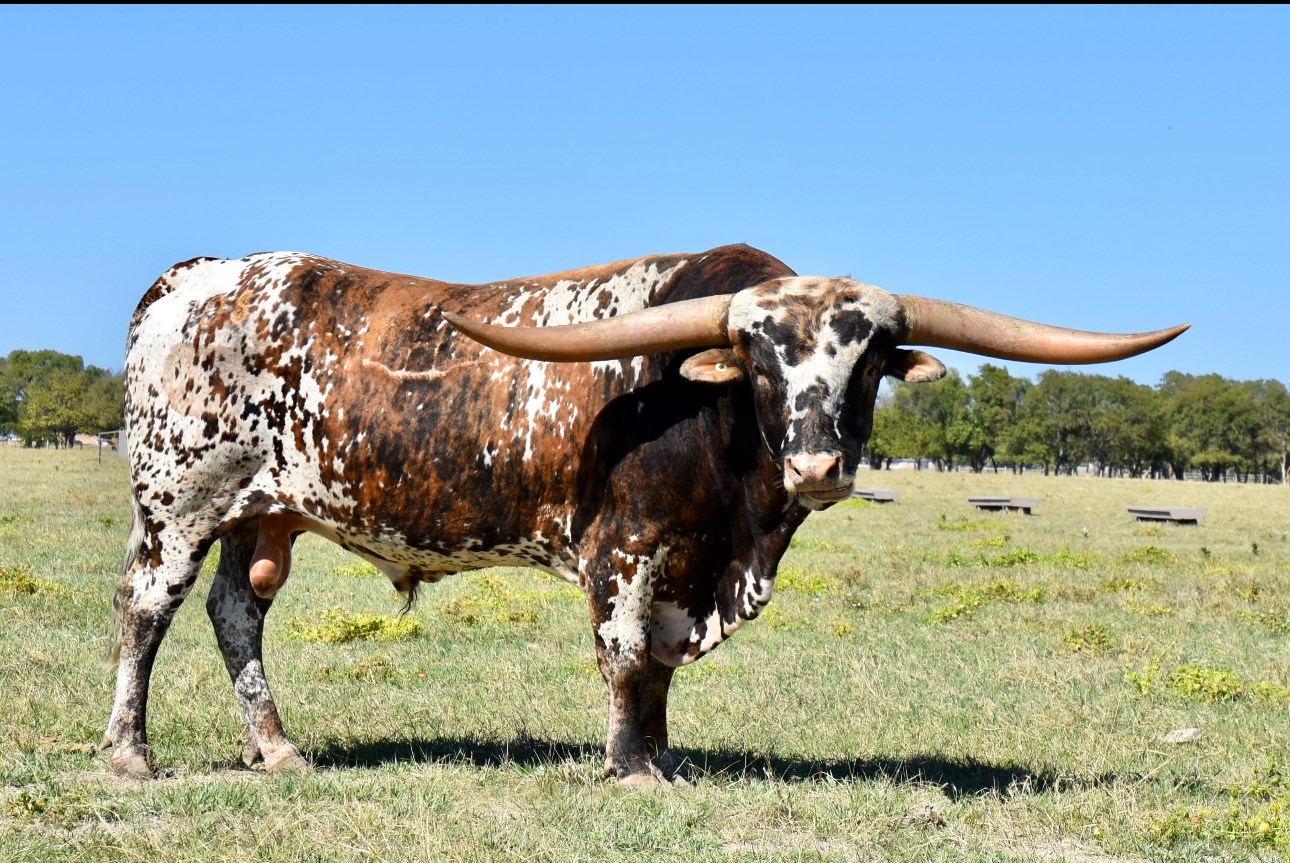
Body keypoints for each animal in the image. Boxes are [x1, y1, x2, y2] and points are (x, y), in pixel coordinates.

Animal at [104, 244, 1187, 786]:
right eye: (759, 359)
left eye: (871, 359)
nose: (819, 462)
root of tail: (196, 273)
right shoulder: (624, 548)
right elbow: (626, 655)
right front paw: (629, 767)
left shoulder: (692, 561)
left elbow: (661, 668)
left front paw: (662, 752)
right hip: (178, 500)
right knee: (145, 610)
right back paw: (129, 753)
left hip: (260, 512)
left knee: (236, 614)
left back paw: (279, 747)